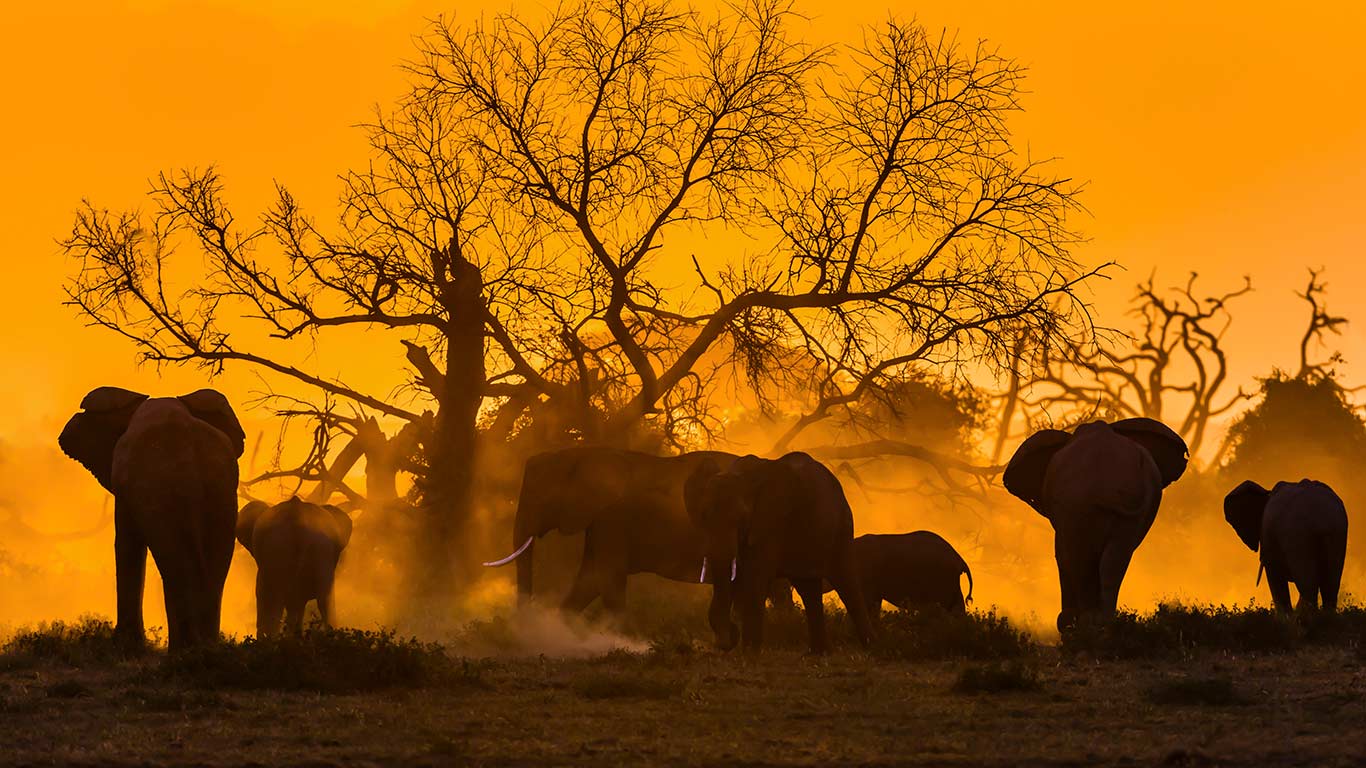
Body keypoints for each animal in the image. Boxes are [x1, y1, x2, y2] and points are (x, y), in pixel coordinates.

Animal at [483, 446, 742, 620]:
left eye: (539, 499)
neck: (580, 454)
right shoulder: (599, 522)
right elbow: (590, 580)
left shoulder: (612, 518)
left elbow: (607, 578)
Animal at [685, 452, 874, 654]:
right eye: (703, 516)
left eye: (741, 518)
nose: (730, 635)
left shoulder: (771, 521)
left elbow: (755, 576)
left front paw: (749, 653)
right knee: (808, 589)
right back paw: (820, 653)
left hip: (841, 527)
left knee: (846, 583)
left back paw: (871, 648)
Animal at [1003, 418, 1188, 632]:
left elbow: (1062, 556)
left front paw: (1070, 624)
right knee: (1114, 561)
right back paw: (1105, 621)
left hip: (1079, 503)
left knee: (1081, 559)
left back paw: (1087, 621)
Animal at [1224, 479, 1348, 614]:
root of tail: (1321, 519)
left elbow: (1274, 576)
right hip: (1337, 532)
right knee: (1331, 584)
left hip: (1297, 535)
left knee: (1308, 584)